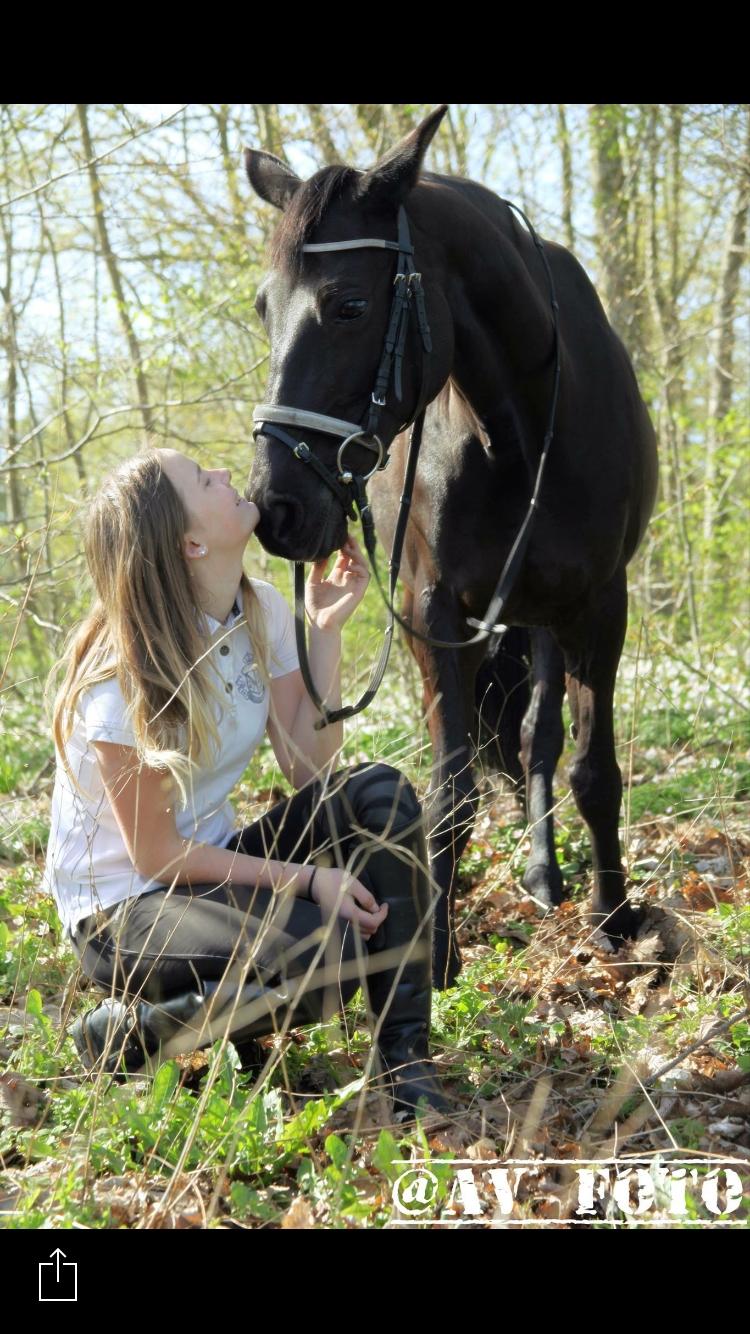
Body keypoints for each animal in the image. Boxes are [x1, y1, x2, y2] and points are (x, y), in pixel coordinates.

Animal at [244, 104, 653, 992]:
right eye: (264, 308)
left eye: (349, 305)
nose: (274, 507)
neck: (524, 428)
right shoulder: (435, 613)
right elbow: (452, 791)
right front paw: (434, 949)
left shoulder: (600, 605)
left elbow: (594, 772)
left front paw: (613, 920)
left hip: (544, 615)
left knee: (539, 738)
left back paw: (546, 876)